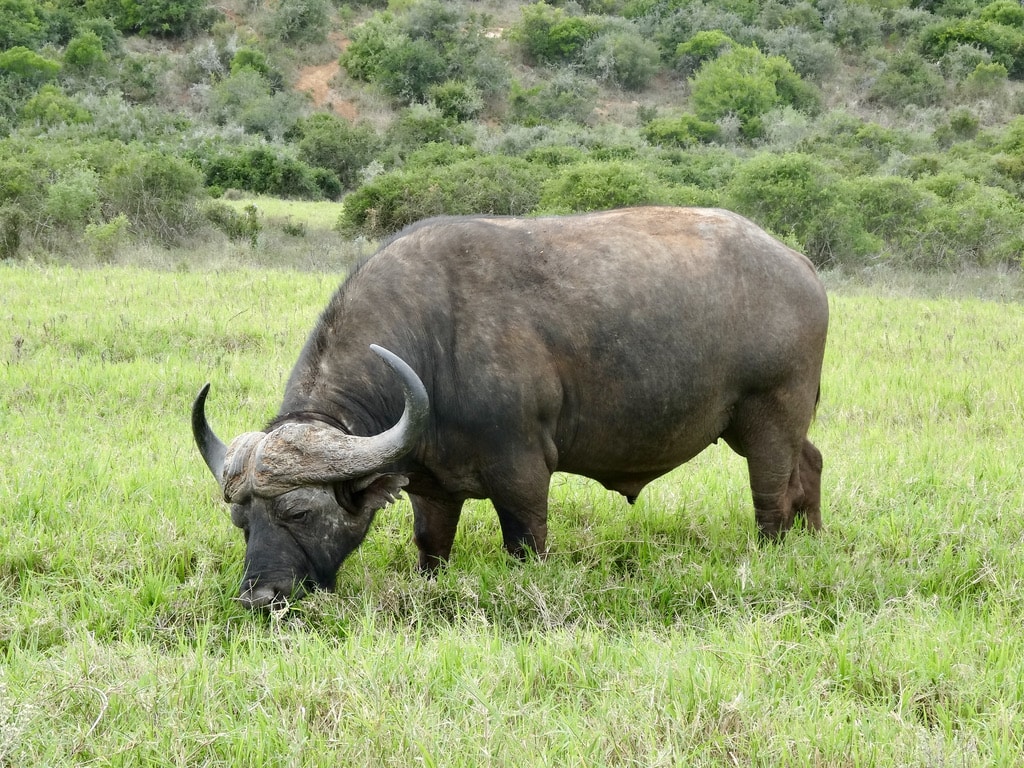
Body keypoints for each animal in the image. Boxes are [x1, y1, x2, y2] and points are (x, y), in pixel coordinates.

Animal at [192, 207, 827, 610]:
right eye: (241, 522)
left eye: (299, 512)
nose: (259, 598)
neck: (434, 341)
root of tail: (801, 267)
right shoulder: (429, 488)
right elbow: (431, 548)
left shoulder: (522, 472)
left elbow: (525, 543)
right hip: (769, 426)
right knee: (811, 466)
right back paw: (815, 540)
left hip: (769, 419)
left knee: (772, 499)